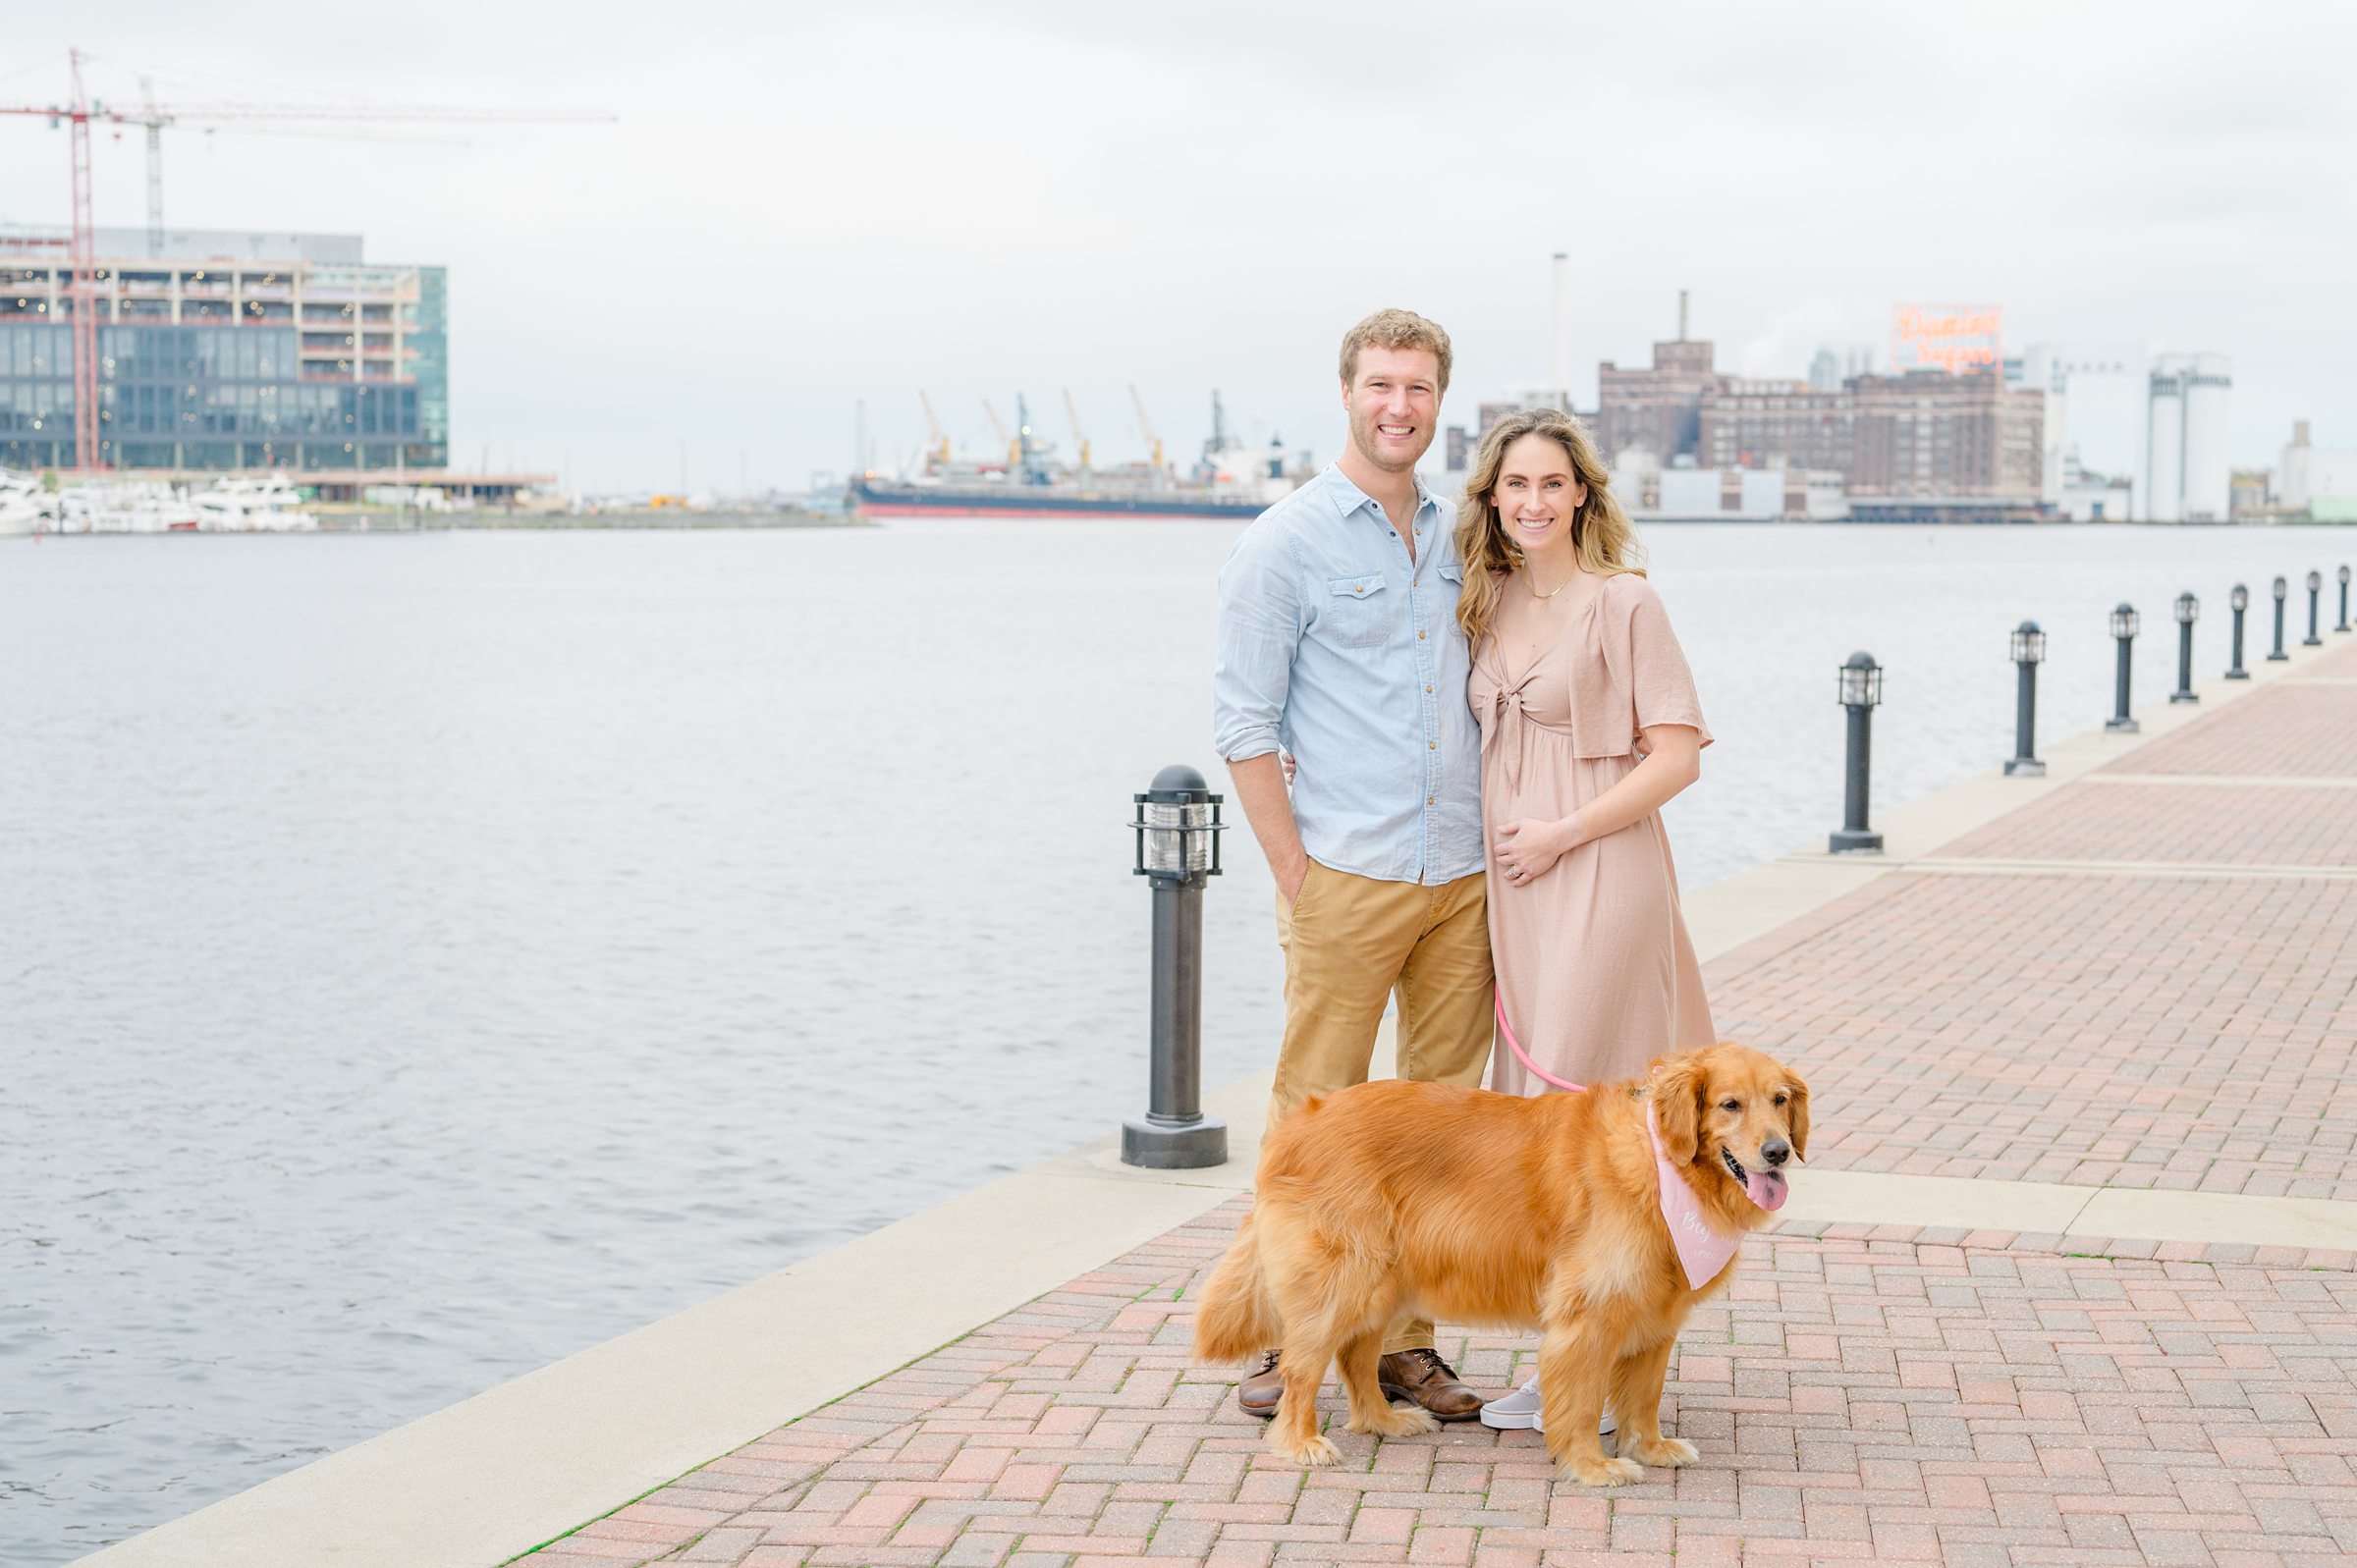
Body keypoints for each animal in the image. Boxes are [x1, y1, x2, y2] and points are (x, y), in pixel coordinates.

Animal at [1197, 1037, 1800, 1481]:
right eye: (1730, 1104)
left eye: (1780, 1100)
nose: (1778, 1152)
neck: (1662, 1163)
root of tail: (1296, 1124)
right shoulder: (1590, 1314)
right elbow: (1584, 1401)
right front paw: (1593, 1466)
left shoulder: (1656, 1315)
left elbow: (1644, 1395)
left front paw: (1649, 1449)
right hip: (1345, 1278)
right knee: (1302, 1368)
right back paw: (1302, 1441)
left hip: (1383, 1281)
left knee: (1355, 1359)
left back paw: (1384, 1420)